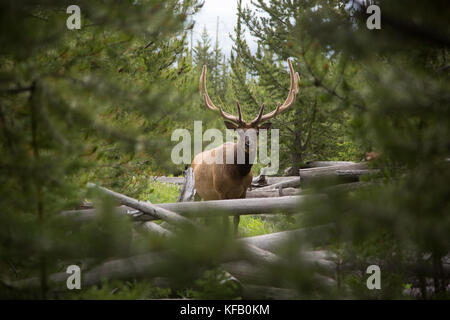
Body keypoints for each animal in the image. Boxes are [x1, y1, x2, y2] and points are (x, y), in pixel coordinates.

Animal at [192, 58, 300, 234]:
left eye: (256, 132)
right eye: (240, 132)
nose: (249, 142)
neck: (237, 174)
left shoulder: (243, 192)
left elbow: (236, 219)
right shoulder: (220, 192)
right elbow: (225, 222)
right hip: (197, 192)